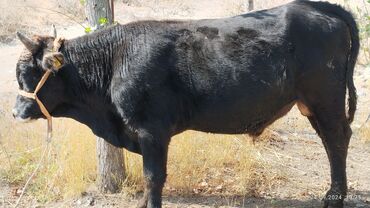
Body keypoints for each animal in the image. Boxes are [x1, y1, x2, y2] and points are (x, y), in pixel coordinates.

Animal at [12, 0, 358, 207]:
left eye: (27, 73)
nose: (16, 112)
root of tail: (316, 6)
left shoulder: (152, 131)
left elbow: (154, 176)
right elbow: (150, 176)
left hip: (325, 99)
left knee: (337, 140)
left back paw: (334, 196)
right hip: (312, 104)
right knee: (331, 141)